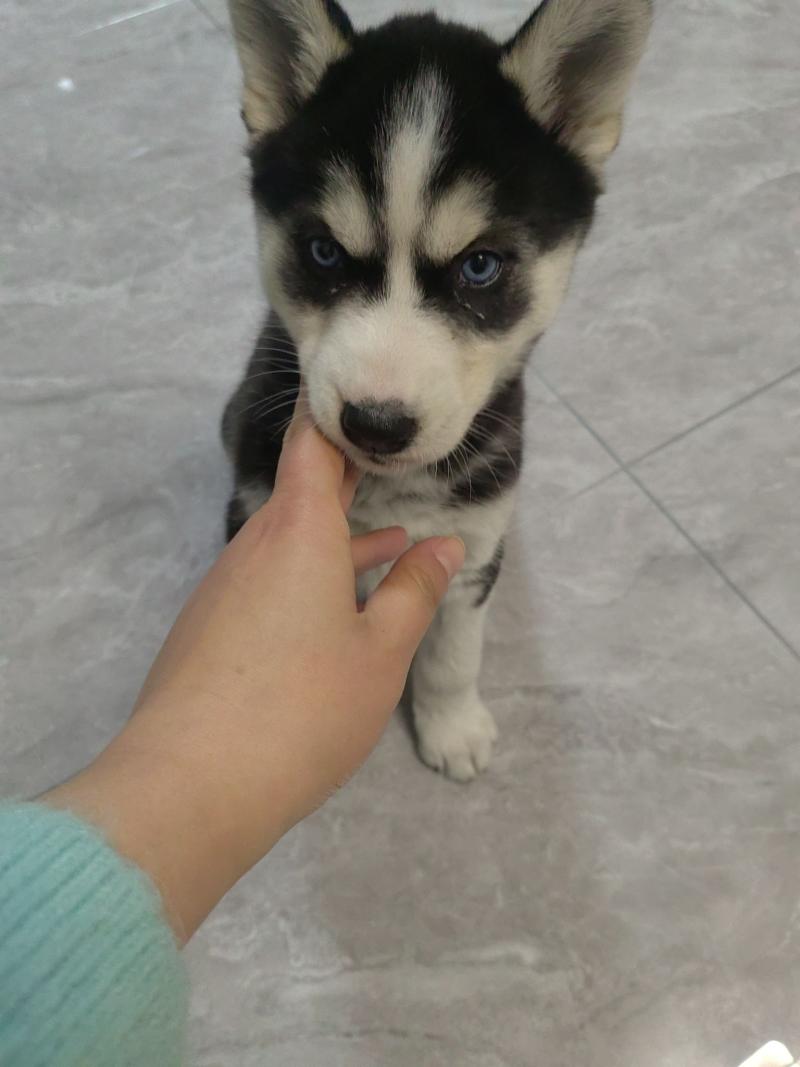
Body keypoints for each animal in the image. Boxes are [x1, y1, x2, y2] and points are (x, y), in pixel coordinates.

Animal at [221, 0, 651, 780]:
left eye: (480, 266)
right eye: (323, 252)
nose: (376, 424)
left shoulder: (471, 547)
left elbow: (454, 656)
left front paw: (450, 726)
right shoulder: (258, 518)